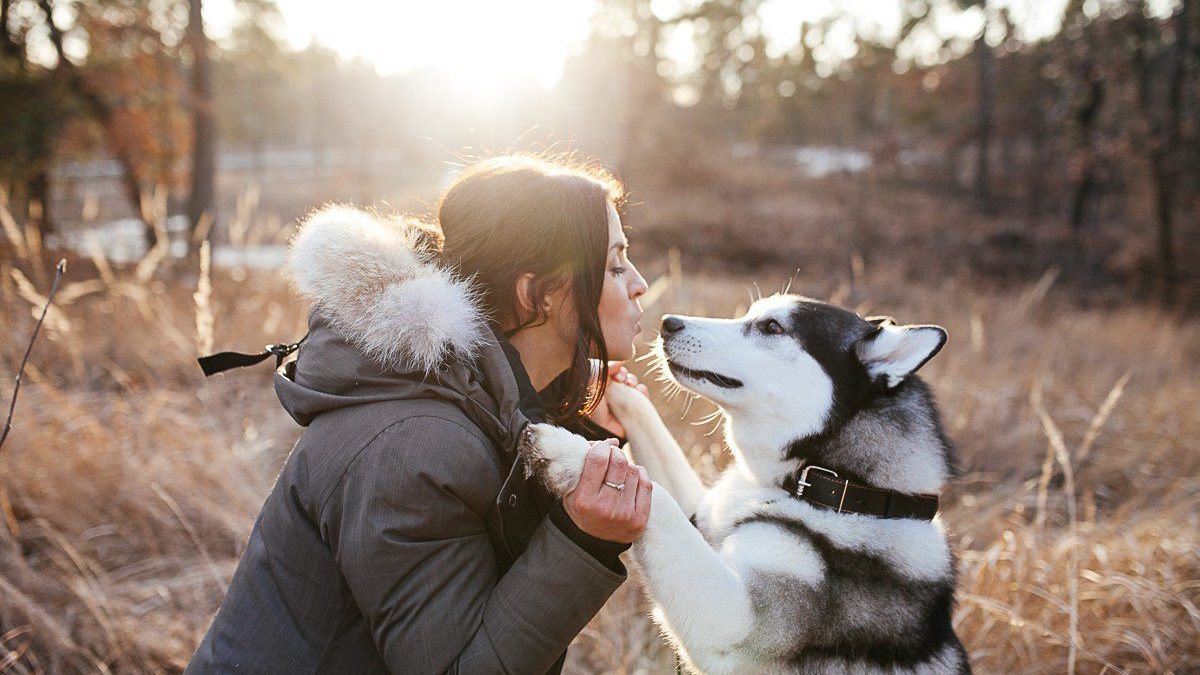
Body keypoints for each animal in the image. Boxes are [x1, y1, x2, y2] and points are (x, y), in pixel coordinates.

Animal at [520, 294, 969, 672]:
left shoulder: (736, 626)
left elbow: (657, 499)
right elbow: (650, 438)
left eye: (772, 327)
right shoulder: (703, 517)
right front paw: (606, 378)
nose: (668, 323)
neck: (839, 488)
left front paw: (565, 451)